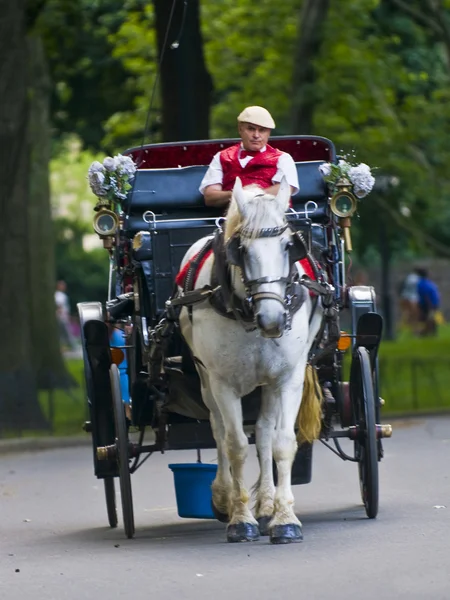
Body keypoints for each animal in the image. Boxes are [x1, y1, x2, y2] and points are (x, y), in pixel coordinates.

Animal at [178, 177, 324, 544]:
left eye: (289, 246)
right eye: (241, 250)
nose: (272, 319)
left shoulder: (287, 378)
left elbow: (282, 443)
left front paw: (284, 518)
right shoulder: (222, 383)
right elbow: (235, 445)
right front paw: (241, 518)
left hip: (268, 383)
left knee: (264, 432)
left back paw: (268, 504)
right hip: (205, 381)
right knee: (218, 430)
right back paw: (225, 497)